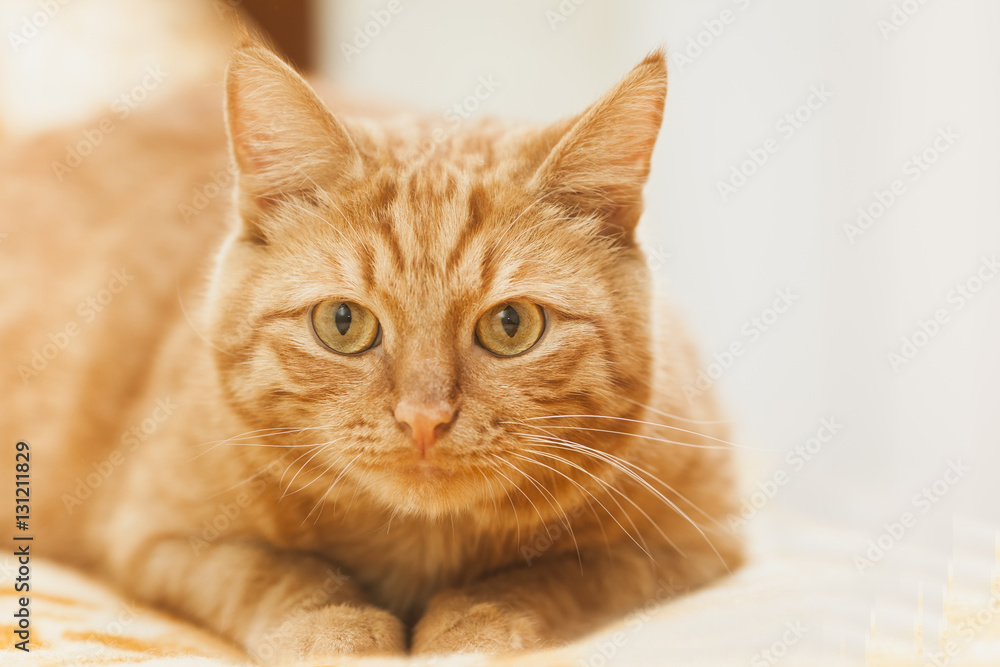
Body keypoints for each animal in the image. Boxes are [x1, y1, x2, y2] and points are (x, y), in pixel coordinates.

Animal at [0, 43, 744, 664]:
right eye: (343, 323)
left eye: (511, 325)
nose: (424, 417)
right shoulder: (158, 536)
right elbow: (279, 571)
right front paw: (338, 632)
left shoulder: (694, 542)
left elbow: (546, 577)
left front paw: (473, 628)